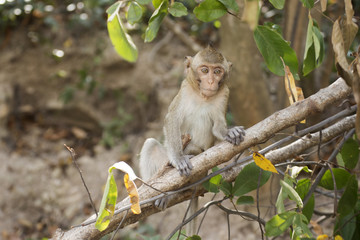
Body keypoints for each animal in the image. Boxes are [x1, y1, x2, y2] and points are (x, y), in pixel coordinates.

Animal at [138, 46, 245, 233]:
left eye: (217, 71)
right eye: (205, 70)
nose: (211, 81)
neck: (203, 96)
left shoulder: (224, 94)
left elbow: (217, 127)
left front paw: (229, 132)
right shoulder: (185, 89)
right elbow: (172, 120)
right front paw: (179, 159)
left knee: (194, 149)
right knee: (151, 144)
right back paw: (162, 193)